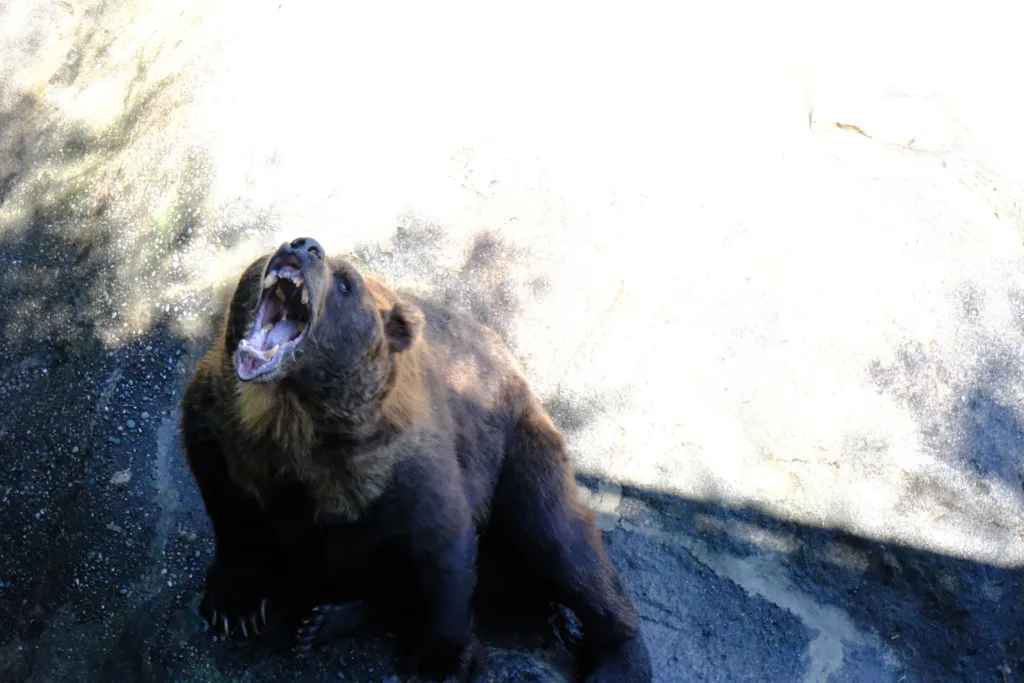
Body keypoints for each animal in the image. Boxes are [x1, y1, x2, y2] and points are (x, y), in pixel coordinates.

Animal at [180, 236, 651, 683]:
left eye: (346, 284)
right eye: (272, 247)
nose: (303, 244)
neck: (289, 414)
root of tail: (510, 358)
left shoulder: (401, 462)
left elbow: (443, 545)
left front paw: (438, 661)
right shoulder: (220, 431)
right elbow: (230, 513)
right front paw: (236, 606)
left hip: (518, 443)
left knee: (557, 537)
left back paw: (618, 660)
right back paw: (324, 620)